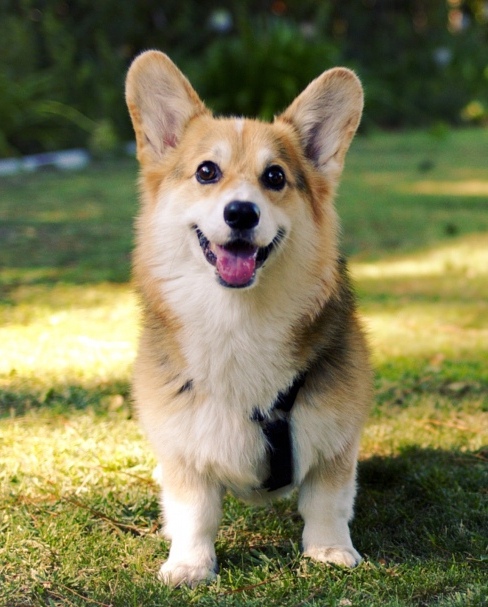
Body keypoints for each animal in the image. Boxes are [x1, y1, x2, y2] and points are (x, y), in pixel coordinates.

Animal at [125, 52, 370, 588]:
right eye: (206, 171)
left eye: (275, 177)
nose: (241, 213)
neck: (237, 322)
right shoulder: (185, 449)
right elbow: (194, 513)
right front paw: (190, 565)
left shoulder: (335, 438)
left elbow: (327, 502)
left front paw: (329, 550)